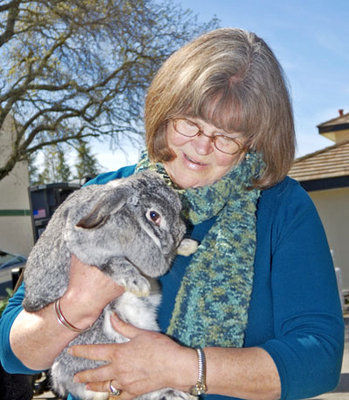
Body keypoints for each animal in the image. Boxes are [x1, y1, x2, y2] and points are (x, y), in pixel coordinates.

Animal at [21, 171, 197, 400]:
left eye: (178, 204)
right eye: (154, 215)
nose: (182, 232)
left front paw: (188, 245)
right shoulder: (87, 249)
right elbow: (115, 263)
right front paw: (138, 283)